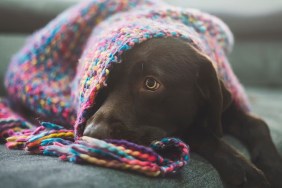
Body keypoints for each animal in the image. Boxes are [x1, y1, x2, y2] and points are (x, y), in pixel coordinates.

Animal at [83, 37, 282, 187]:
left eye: (151, 83)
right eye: (105, 85)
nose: (92, 133)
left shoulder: (220, 109)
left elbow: (258, 123)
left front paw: (273, 166)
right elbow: (200, 132)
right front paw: (241, 166)